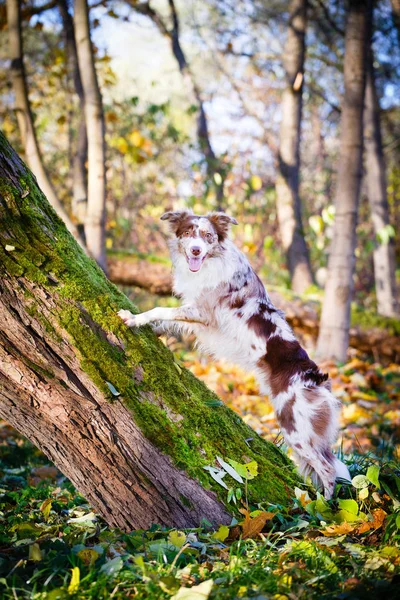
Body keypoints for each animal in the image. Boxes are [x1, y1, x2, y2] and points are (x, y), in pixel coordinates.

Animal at [119, 209, 350, 500]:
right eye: (187, 233)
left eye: (208, 236)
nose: (195, 250)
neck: (209, 264)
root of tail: (318, 379)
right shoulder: (199, 315)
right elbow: (168, 321)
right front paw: (152, 328)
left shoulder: (202, 311)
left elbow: (161, 309)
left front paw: (134, 318)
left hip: (295, 428)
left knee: (328, 469)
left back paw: (321, 507)